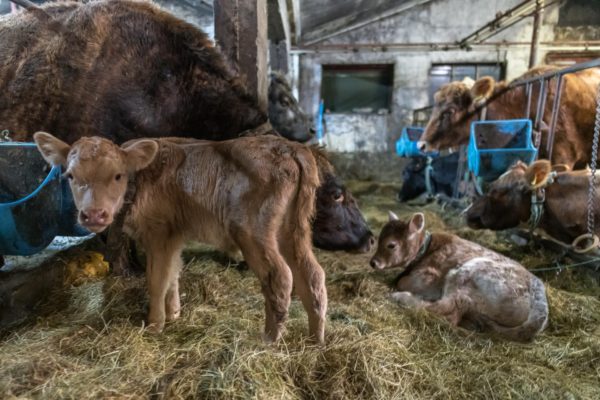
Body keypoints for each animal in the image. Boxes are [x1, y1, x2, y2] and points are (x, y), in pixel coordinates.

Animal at [34, 132, 328, 344]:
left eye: (117, 175)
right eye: (70, 176)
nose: (94, 215)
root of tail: (291, 148)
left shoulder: (159, 233)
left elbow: (156, 280)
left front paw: (155, 325)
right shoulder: (174, 236)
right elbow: (173, 274)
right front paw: (174, 315)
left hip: (253, 231)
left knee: (280, 276)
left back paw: (270, 340)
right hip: (293, 230)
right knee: (312, 274)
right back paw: (315, 340)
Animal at [368, 212, 548, 340]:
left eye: (391, 245)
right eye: (378, 240)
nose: (373, 262)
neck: (425, 249)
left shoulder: (430, 278)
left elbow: (402, 281)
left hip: (467, 274)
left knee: (449, 309)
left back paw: (401, 297)